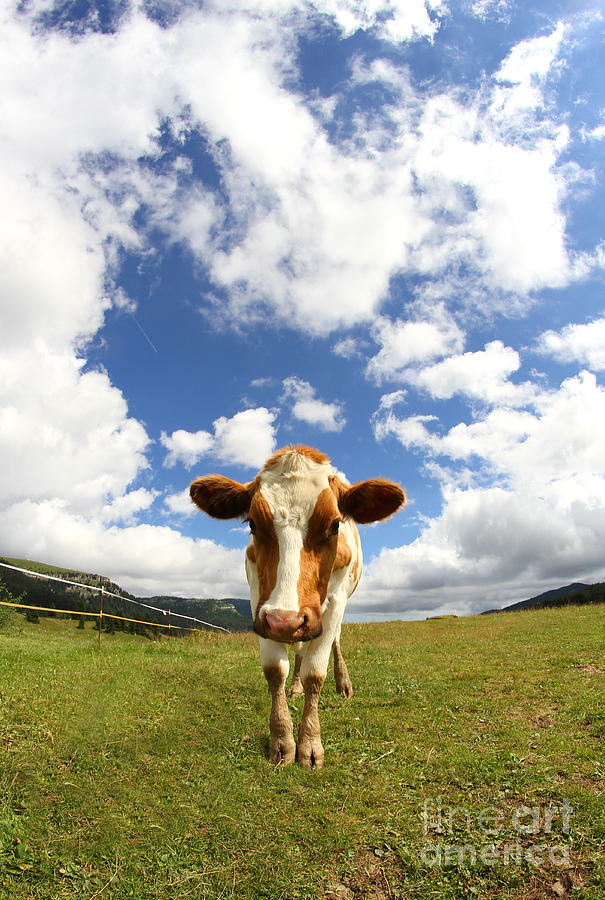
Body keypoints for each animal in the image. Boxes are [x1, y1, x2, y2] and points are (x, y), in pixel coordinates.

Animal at [191, 442, 404, 768]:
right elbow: (275, 670)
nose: (286, 621)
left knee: (334, 642)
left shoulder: (334, 601)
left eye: (334, 524)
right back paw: (295, 686)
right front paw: (282, 740)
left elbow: (316, 672)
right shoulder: (260, 602)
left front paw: (310, 744)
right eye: (252, 523)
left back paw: (343, 683)